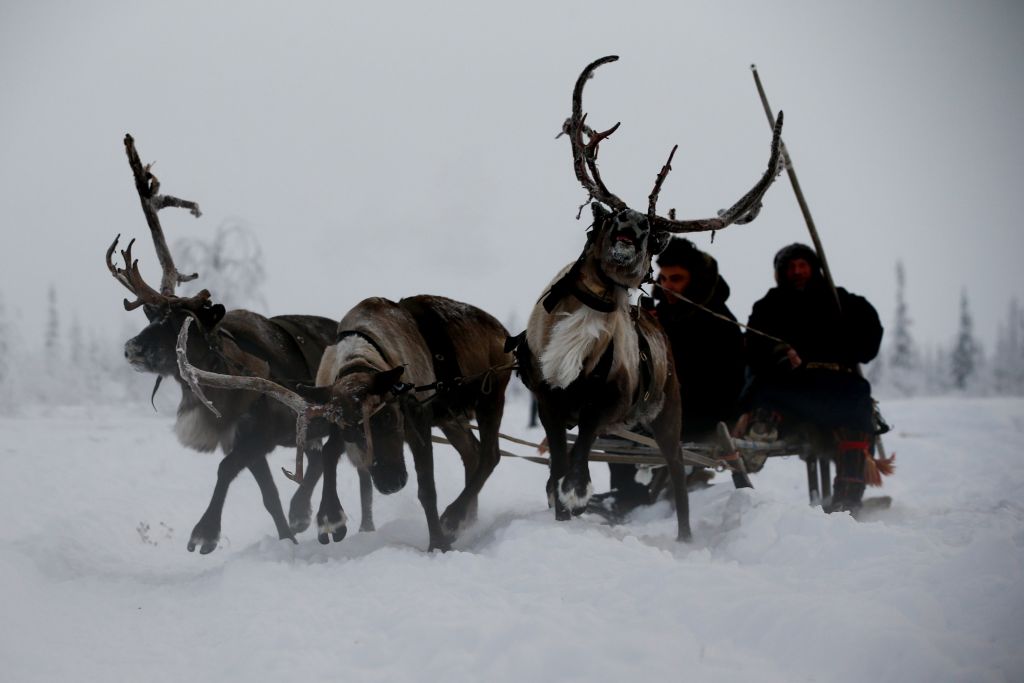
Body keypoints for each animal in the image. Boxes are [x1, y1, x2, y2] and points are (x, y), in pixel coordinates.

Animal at [107, 134, 364, 554]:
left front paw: (204, 533)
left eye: (182, 325)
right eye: (151, 317)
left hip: (337, 413)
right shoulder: (246, 442)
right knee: (316, 459)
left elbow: (226, 470)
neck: (222, 374)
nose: (131, 348)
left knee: (329, 454)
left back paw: (328, 517)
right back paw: (303, 513)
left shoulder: (255, 439)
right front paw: (287, 539)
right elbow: (268, 495)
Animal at [176, 294, 514, 552]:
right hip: (451, 417)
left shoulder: (418, 421)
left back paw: (454, 517)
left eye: (389, 416)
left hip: (489, 398)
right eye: (352, 429)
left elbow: (426, 489)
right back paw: (465, 517)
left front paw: (438, 543)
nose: (390, 483)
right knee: (473, 453)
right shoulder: (334, 418)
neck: (358, 363)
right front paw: (329, 516)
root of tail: (501, 330)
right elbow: (327, 457)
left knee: (490, 455)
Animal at [513, 55, 784, 541]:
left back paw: (685, 536)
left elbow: (580, 452)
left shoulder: (607, 401)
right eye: (613, 216)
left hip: (669, 415)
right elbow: (557, 461)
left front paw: (576, 492)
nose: (632, 226)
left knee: (676, 475)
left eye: (652, 234)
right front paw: (561, 508)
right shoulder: (548, 397)